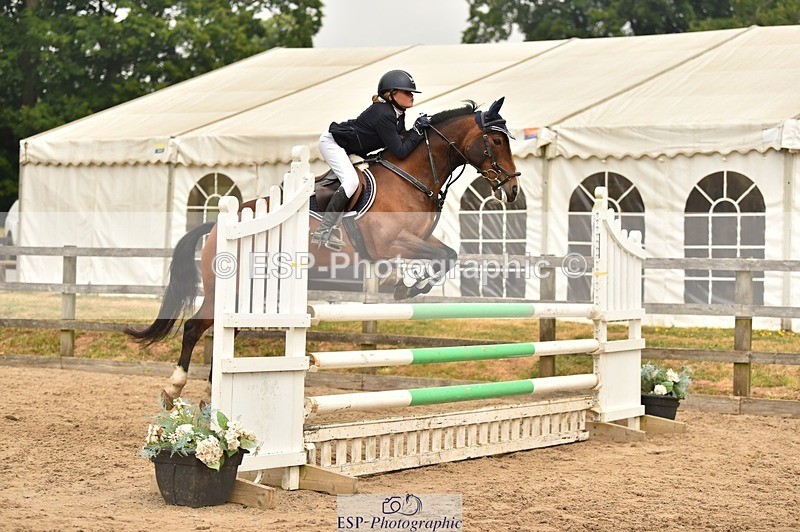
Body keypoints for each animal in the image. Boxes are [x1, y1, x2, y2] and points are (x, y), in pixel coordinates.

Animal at [126, 97, 520, 405]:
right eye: (496, 140)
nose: (513, 189)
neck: (413, 177)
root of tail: (219, 226)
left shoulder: (417, 240)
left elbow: (447, 256)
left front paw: (407, 286)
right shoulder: (389, 242)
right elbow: (438, 257)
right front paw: (405, 286)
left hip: (252, 294)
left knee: (227, 334)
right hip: (227, 289)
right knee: (195, 328)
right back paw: (173, 389)